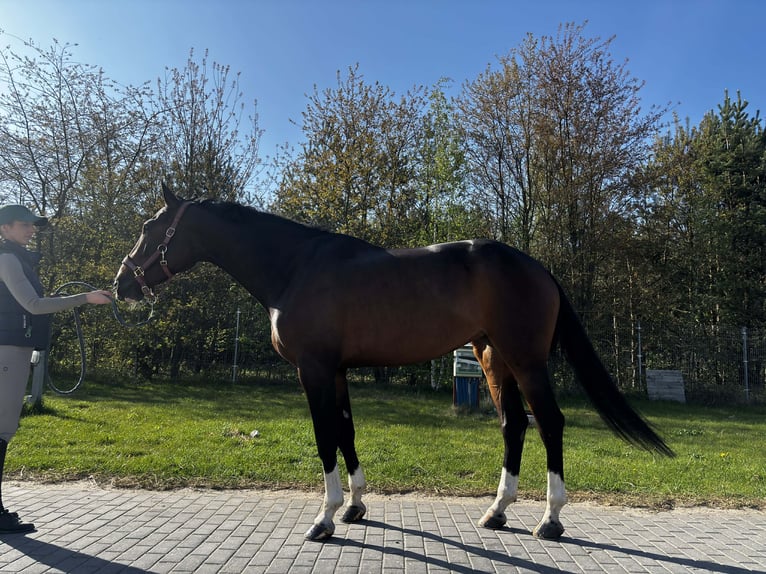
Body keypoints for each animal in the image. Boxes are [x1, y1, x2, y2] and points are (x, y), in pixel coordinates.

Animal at [113, 183, 674, 542]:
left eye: (149, 226)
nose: (121, 284)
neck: (295, 267)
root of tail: (538, 267)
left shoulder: (313, 370)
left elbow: (324, 437)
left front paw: (325, 518)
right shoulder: (337, 371)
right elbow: (346, 431)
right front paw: (356, 505)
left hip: (526, 359)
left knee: (550, 422)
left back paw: (551, 520)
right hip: (493, 357)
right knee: (514, 424)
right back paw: (496, 511)